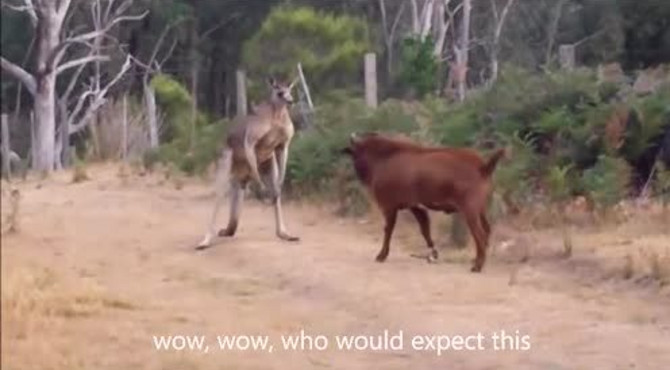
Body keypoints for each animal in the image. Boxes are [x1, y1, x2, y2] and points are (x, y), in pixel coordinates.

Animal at [344, 133, 506, 272]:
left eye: (356, 152)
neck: (386, 158)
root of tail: (483, 166)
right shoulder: (416, 206)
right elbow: (425, 229)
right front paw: (433, 254)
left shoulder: (390, 207)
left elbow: (388, 230)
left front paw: (381, 255)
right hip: (481, 210)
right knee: (487, 230)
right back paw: (477, 260)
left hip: (470, 211)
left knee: (480, 235)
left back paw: (477, 266)